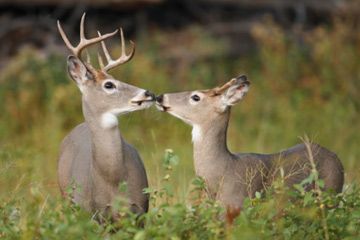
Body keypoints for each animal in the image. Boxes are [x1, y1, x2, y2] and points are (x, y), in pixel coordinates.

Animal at [156, 74, 344, 223]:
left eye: (196, 97)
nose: (159, 97)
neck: (221, 172)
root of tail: (337, 158)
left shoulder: (237, 206)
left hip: (331, 194)